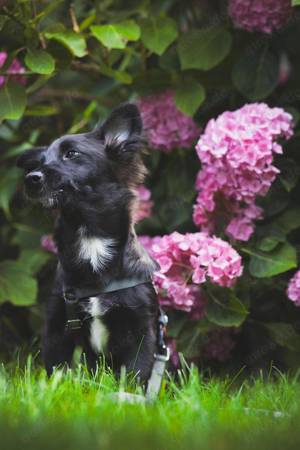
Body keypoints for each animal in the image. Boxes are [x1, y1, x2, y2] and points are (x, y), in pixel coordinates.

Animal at [17, 103, 161, 380]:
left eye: (71, 154)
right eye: (39, 162)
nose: (31, 178)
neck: (90, 236)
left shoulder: (141, 330)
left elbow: (135, 375)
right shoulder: (56, 328)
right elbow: (57, 372)